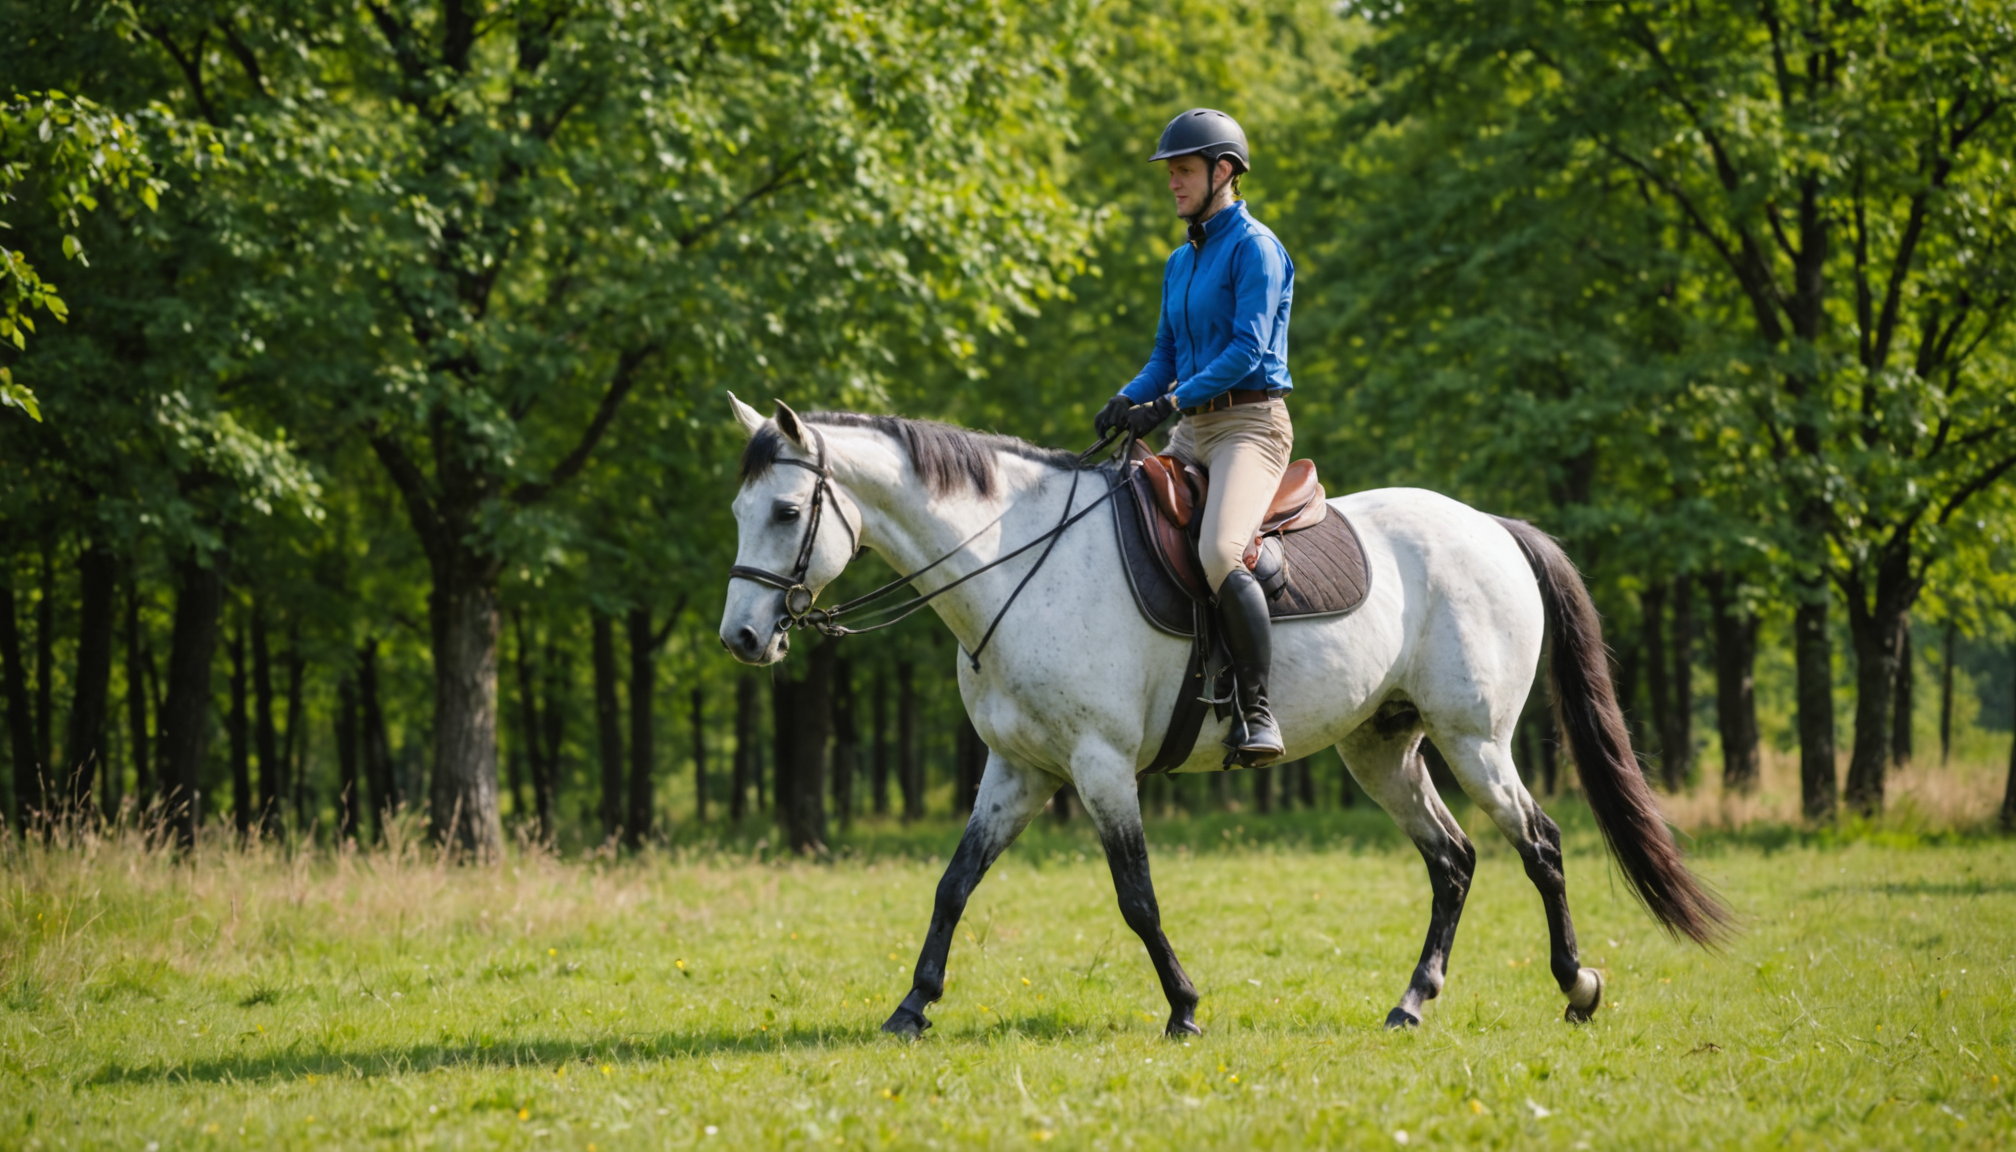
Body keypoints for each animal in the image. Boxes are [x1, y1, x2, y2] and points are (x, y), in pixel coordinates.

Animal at [717, 396, 1726, 1036]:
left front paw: (1185, 1007)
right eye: (738, 510)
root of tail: (1490, 526)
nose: (743, 638)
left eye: (785, 510)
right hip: (1383, 750)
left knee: (1540, 845)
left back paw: (1577, 984)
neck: (1016, 561)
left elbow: (1136, 896)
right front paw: (912, 1007)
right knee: (1454, 861)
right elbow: (953, 886)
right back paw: (1412, 1001)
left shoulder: (1098, 765)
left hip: (1474, 741)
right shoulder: (1018, 769)